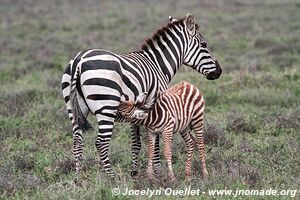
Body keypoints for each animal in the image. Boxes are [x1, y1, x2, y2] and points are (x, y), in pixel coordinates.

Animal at [61, 13, 221, 180]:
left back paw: (78, 178)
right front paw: (158, 171)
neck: (158, 65)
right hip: (107, 106)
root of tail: (78, 61)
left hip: (73, 107)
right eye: (204, 44)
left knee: (78, 140)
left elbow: (136, 143)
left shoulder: (138, 111)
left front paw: (134, 172)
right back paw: (112, 177)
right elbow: (155, 142)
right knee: (101, 142)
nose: (219, 72)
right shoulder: (158, 105)